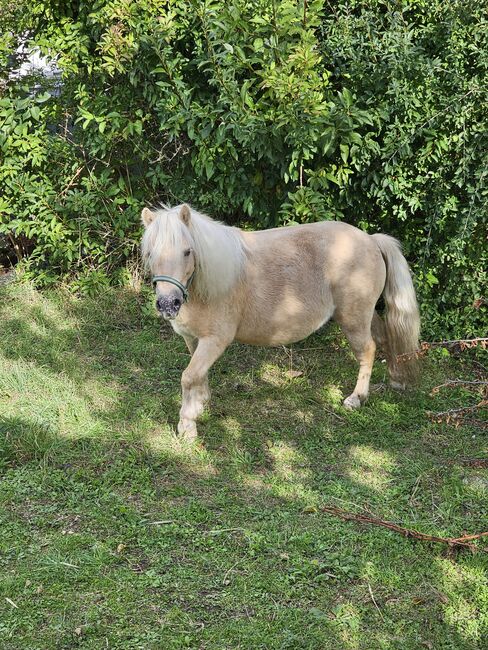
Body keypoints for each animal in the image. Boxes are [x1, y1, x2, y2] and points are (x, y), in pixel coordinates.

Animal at [141, 205, 420, 438]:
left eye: (187, 251)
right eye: (150, 253)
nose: (168, 304)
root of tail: (371, 240)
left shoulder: (215, 340)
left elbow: (189, 377)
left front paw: (187, 427)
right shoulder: (193, 339)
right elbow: (198, 374)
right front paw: (201, 404)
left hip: (353, 318)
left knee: (368, 350)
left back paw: (357, 398)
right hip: (365, 314)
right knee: (385, 339)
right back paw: (396, 380)